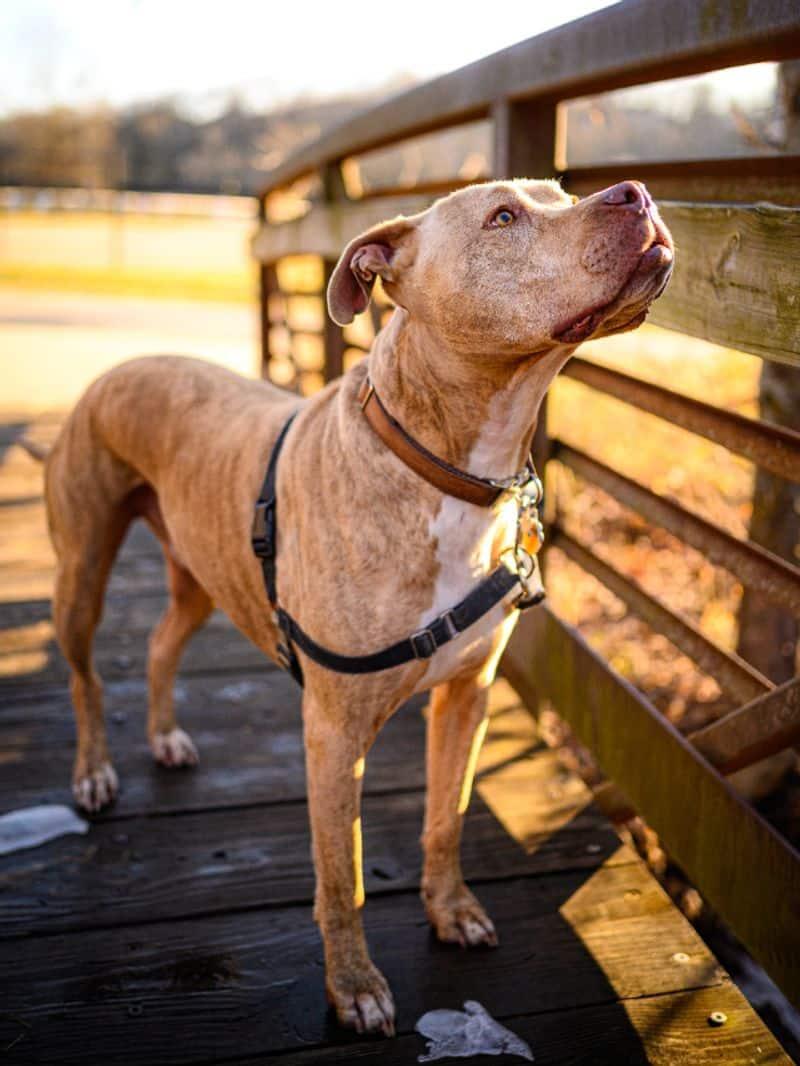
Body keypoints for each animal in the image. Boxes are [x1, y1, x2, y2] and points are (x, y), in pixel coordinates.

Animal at [41, 178, 673, 1036]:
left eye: (563, 193)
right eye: (504, 217)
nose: (635, 193)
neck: (447, 468)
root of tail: (127, 362)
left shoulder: (466, 696)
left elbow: (446, 817)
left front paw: (451, 910)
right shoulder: (334, 734)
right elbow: (343, 873)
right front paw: (353, 987)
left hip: (202, 570)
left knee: (161, 643)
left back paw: (166, 735)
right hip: (81, 573)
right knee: (85, 676)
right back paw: (94, 774)